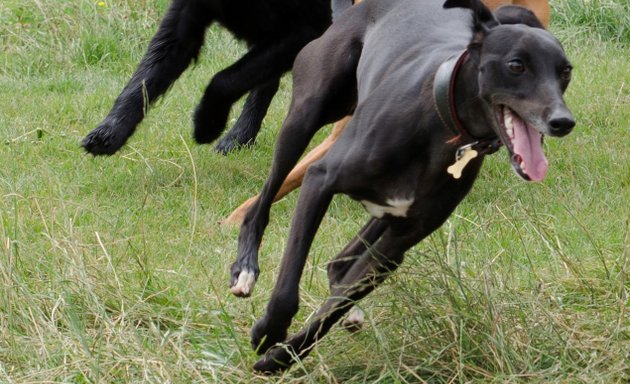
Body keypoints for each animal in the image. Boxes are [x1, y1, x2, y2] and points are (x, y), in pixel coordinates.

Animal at [80, 1, 356, 156]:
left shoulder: (305, 27)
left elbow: (223, 80)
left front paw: (207, 123)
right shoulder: (184, 20)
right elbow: (143, 79)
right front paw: (110, 131)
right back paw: (240, 136)